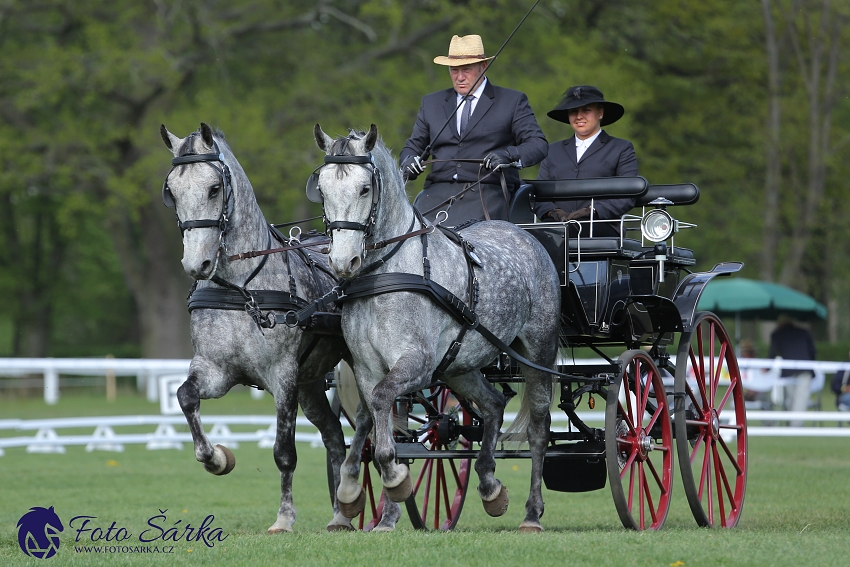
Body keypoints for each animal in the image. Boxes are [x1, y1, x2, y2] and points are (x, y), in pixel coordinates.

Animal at [159, 122, 352, 536]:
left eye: (214, 188)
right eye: (172, 191)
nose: (196, 264)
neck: (243, 287)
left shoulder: (282, 376)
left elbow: (284, 452)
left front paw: (284, 518)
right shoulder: (216, 370)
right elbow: (185, 396)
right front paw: (216, 458)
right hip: (312, 382)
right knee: (334, 436)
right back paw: (340, 513)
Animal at [312, 124, 564, 532]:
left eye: (365, 188)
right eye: (321, 189)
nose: (342, 261)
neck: (389, 274)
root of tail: (523, 233)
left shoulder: (417, 363)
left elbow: (382, 407)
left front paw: (393, 478)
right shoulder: (366, 368)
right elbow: (371, 417)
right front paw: (357, 493)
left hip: (537, 350)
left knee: (539, 428)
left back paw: (532, 513)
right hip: (460, 365)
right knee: (493, 405)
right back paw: (490, 486)